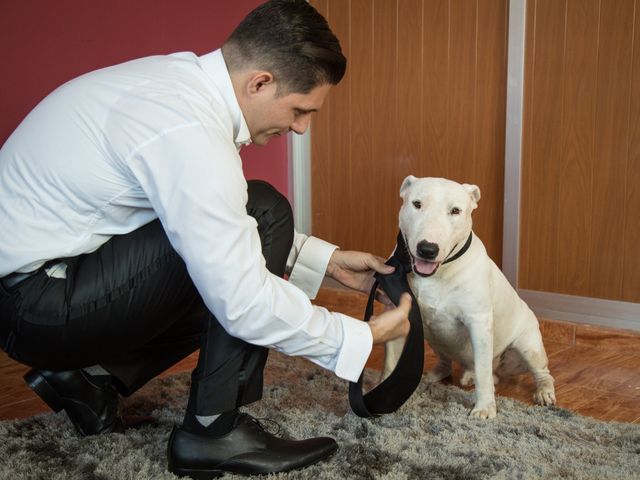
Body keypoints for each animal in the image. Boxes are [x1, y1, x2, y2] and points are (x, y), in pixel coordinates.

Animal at [384, 174, 556, 418]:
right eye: (417, 204)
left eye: (455, 211)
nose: (428, 249)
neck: (439, 273)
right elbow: (390, 363)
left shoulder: (478, 322)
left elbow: (483, 373)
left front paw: (484, 409)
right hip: (435, 338)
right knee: (447, 362)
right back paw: (433, 376)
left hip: (528, 346)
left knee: (538, 371)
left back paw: (543, 392)